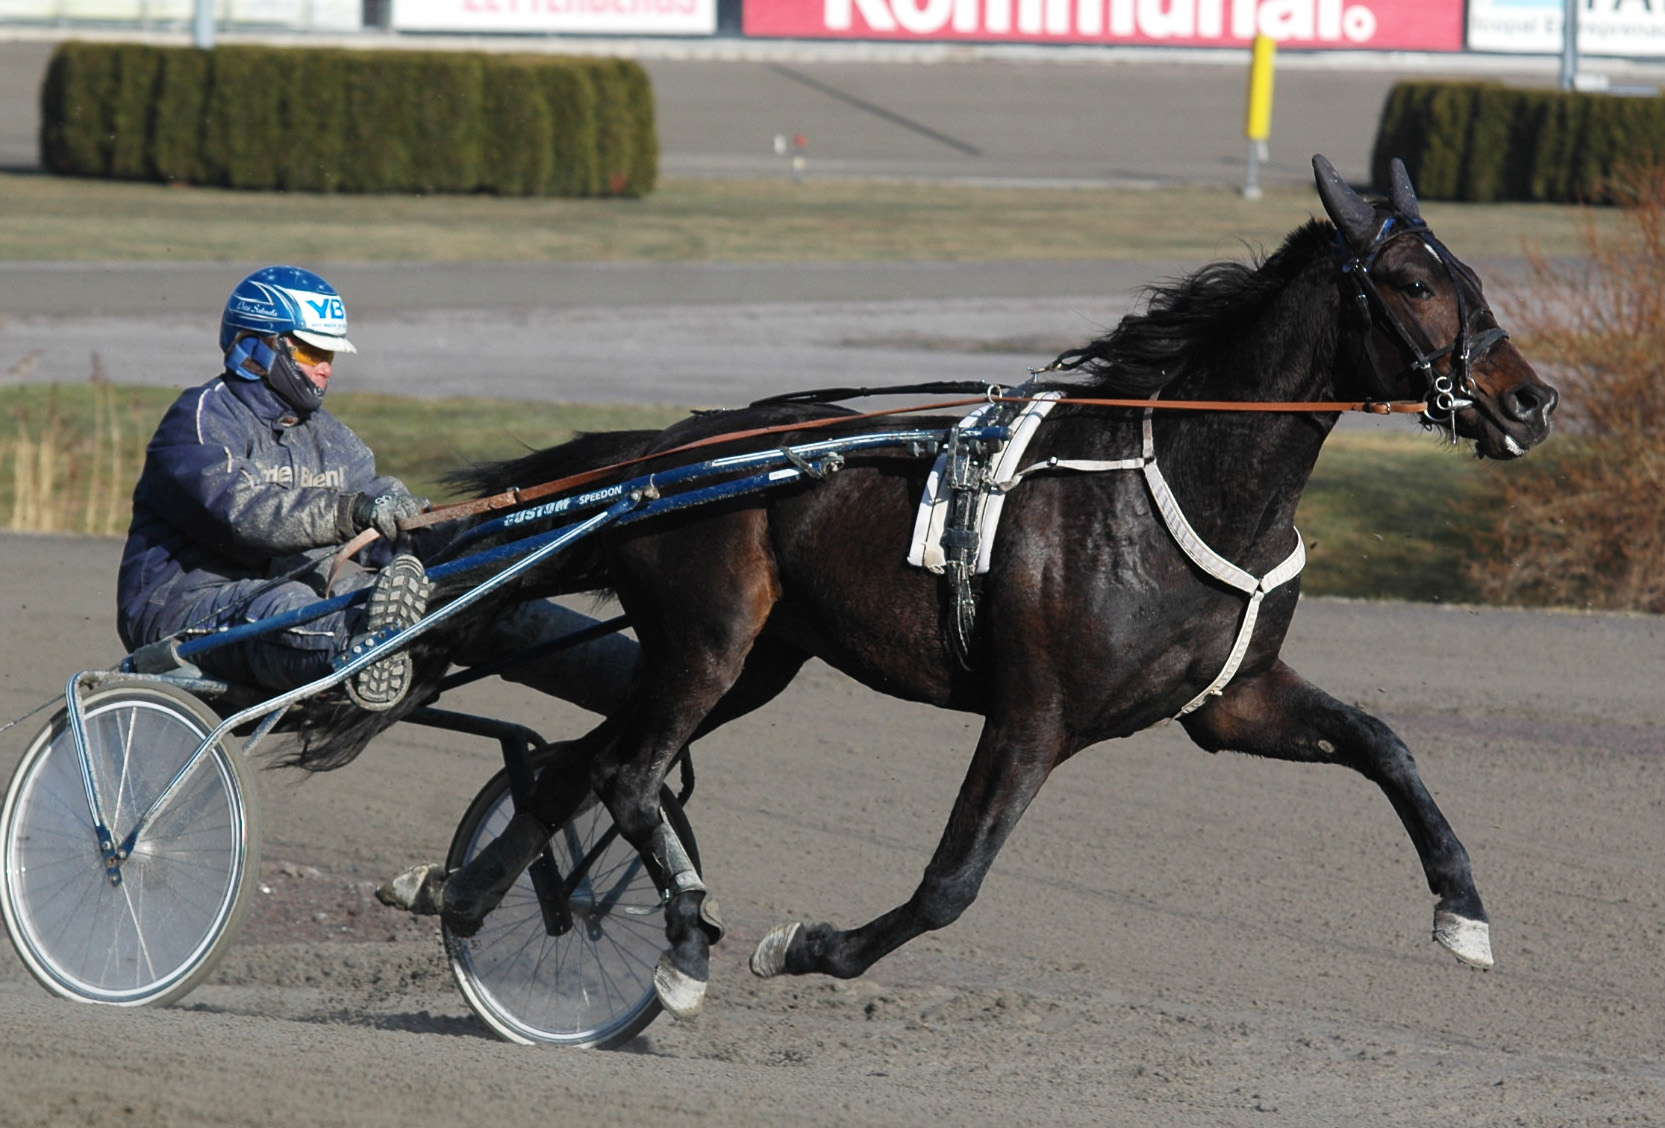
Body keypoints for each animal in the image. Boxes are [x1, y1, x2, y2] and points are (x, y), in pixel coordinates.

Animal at [314, 160, 1558, 1019]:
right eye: (1412, 280)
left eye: (1473, 273)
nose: (1531, 399)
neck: (1180, 485)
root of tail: (668, 451)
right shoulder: (1034, 714)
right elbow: (955, 881)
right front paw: (805, 947)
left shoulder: (1230, 703)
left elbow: (1386, 744)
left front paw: (1463, 912)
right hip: (710, 642)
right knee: (623, 775)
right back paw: (678, 946)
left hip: (751, 663)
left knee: (579, 765)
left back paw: (466, 896)